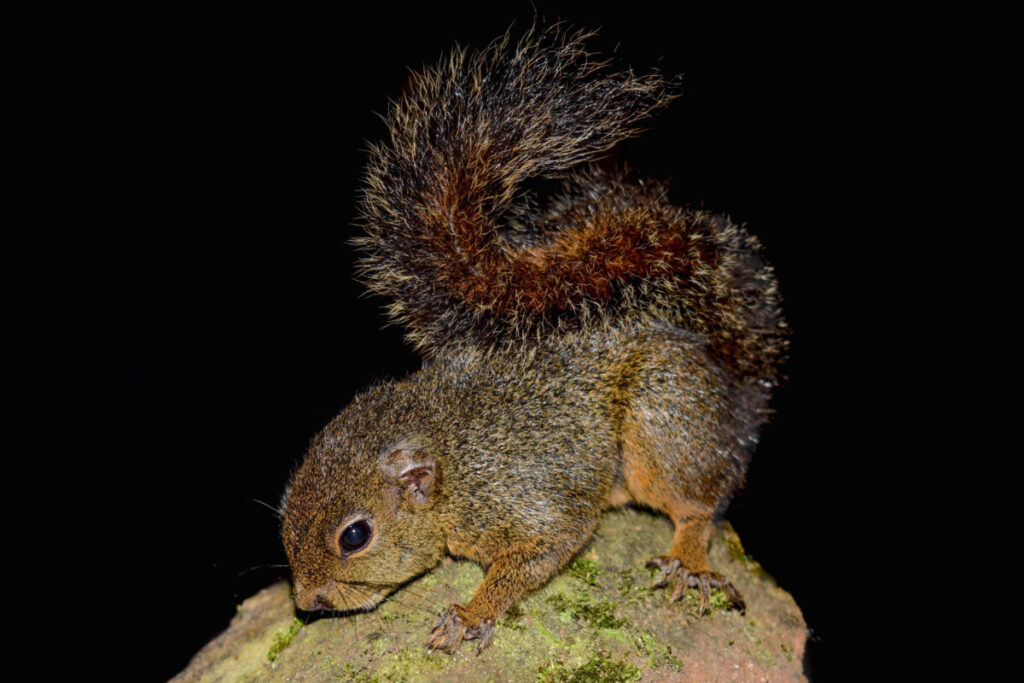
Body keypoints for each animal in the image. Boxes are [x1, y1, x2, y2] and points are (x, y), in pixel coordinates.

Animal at [278, 25, 782, 655]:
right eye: (285, 508)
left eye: (355, 536)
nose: (306, 603)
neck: (452, 459)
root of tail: (734, 381)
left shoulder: (527, 497)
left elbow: (541, 551)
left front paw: (472, 613)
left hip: (664, 412)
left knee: (698, 503)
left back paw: (690, 560)